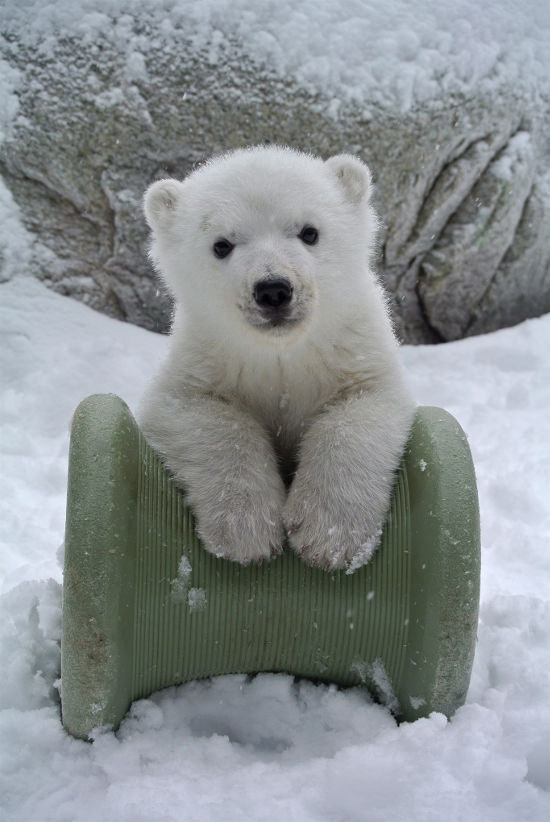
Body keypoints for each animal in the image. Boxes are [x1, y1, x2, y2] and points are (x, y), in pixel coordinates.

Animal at [139, 146, 415, 570]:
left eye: (309, 232)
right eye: (222, 244)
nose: (273, 290)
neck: (281, 351)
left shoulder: (353, 347)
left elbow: (360, 410)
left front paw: (330, 536)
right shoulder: (206, 355)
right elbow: (204, 415)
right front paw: (245, 531)